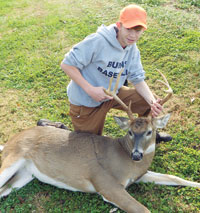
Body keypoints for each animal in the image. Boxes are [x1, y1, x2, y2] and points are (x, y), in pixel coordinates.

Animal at [0, 70, 199, 213]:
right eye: (130, 132)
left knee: (3, 191)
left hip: (25, 175)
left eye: (150, 132)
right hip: (13, 157)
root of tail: (9, 141)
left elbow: (173, 177)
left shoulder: (139, 175)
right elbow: (144, 210)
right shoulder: (106, 185)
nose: (136, 155)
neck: (127, 162)